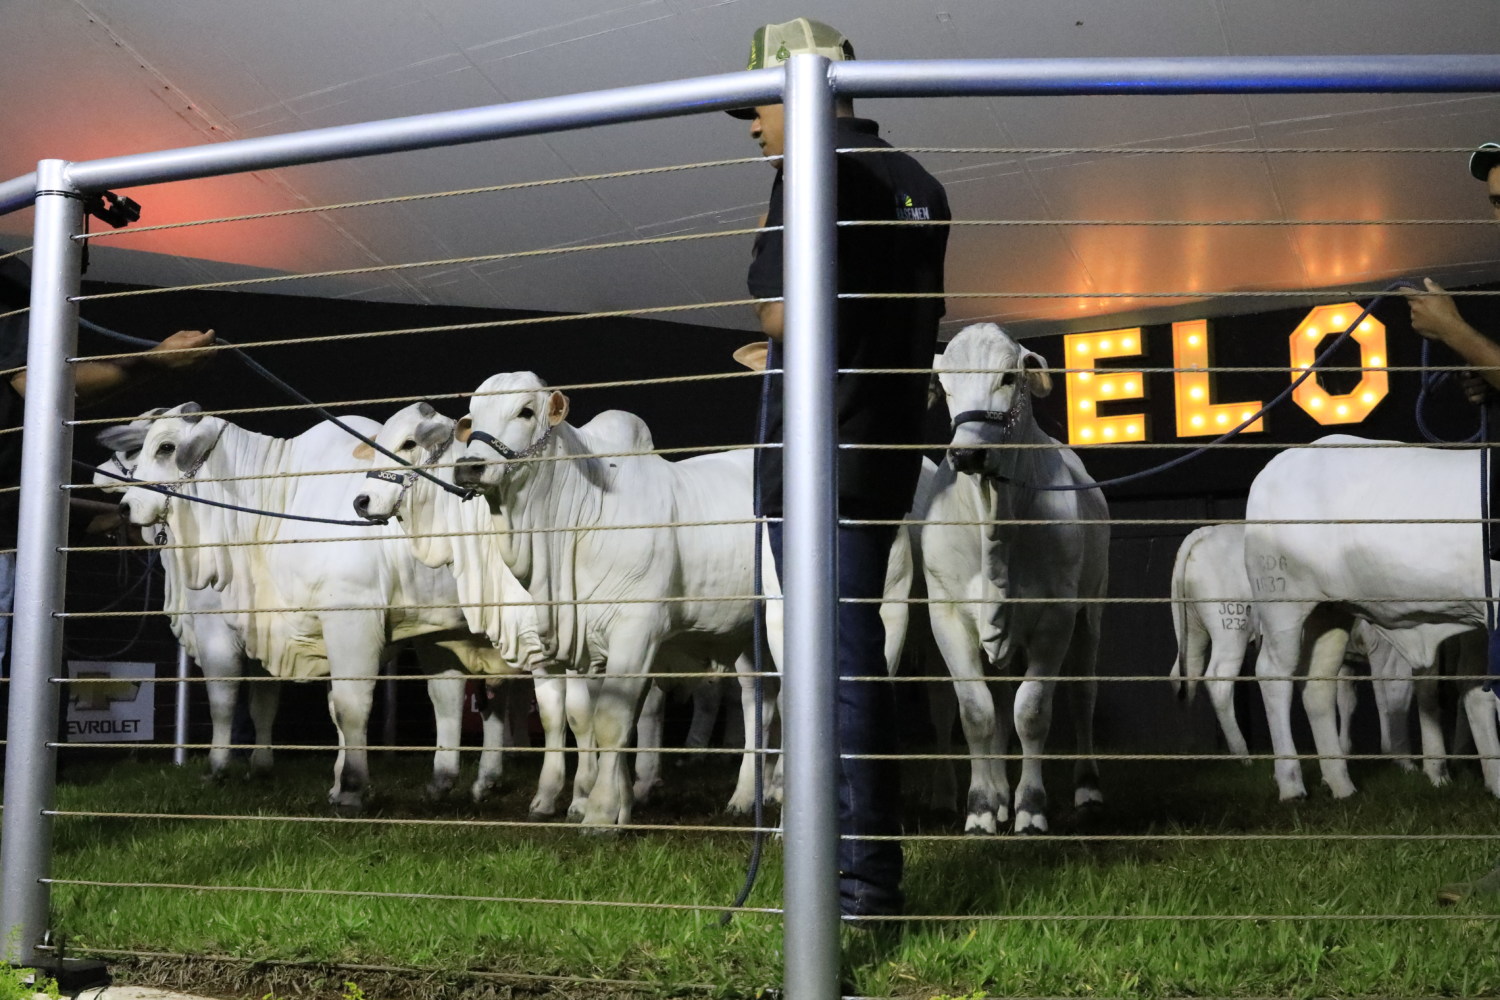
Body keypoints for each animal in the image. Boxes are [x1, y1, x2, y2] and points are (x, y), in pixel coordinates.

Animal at [115, 401, 528, 809]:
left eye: (166, 447)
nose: (125, 506)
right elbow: (304, 706)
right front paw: (333, 781)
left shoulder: (336, 620)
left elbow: (327, 703)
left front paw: (347, 787)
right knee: (470, 695)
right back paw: (472, 781)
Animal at [918, 325, 1110, 833]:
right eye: (946, 384)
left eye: (1007, 377)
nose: (967, 452)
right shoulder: (946, 614)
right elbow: (977, 712)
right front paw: (983, 807)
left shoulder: (1056, 617)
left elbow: (1033, 711)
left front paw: (1030, 807)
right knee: (1000, 702)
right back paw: (1000, 795)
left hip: (1092, 611)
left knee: (1083, 696)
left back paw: (1087, 788)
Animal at [1242, 434, 1500, 803]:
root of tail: (1279, 463)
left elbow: (1478, 692)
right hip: (1281, 598)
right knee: (1273, 674)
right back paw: (1292, 785)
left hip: (1330, 611)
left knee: (1317, 687)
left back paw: (1341, 784)